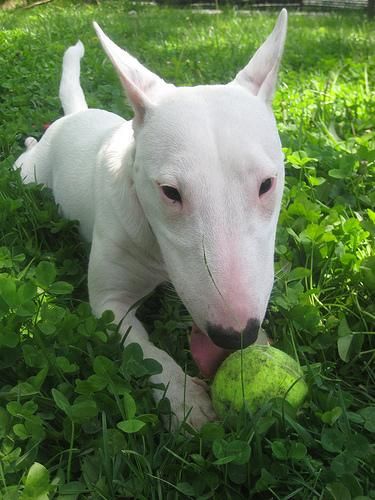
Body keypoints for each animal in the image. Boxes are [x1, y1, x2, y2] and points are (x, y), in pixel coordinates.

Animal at [15, 9, 288, 428]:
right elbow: (146, 352)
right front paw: (185, 398)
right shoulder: (109, 302)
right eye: (170, 192)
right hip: (28, 174)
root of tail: (75, 116)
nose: (235, 335)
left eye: (267, 184)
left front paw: (259, 344)